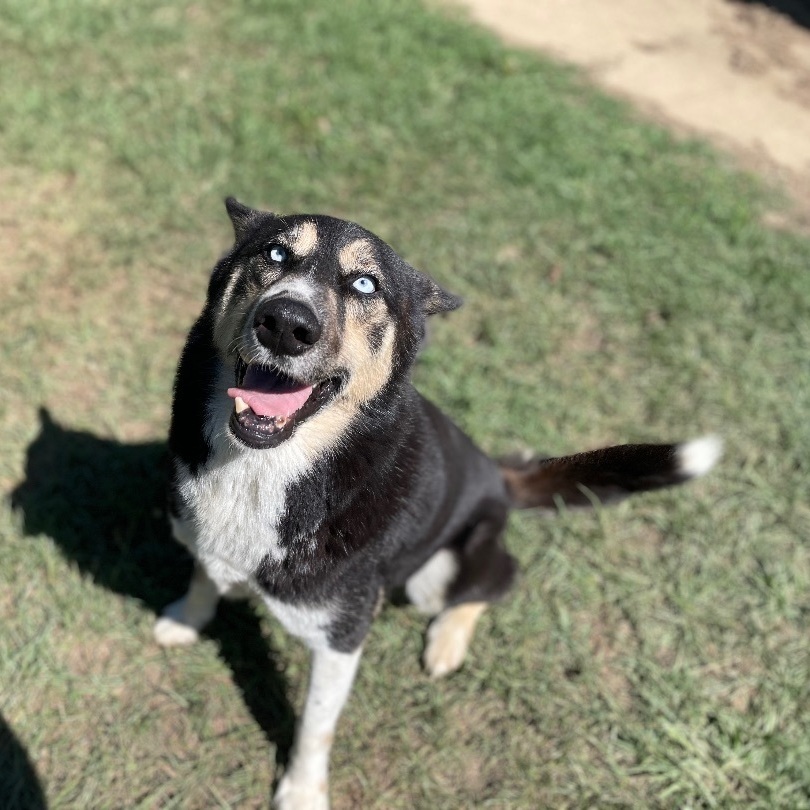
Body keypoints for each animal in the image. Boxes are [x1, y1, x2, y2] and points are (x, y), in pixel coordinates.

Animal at [153, 197, 720, 808]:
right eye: (276, 253)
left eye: (365, 284)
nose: (285, 323)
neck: (267, 468)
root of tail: (496, 474)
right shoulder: (201, 534)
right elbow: (203, 573)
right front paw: (187, 619)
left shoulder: (342, 635)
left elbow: (314, 728)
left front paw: (301, 793)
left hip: (437, 574)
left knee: (500, 578)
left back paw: (448, 641)